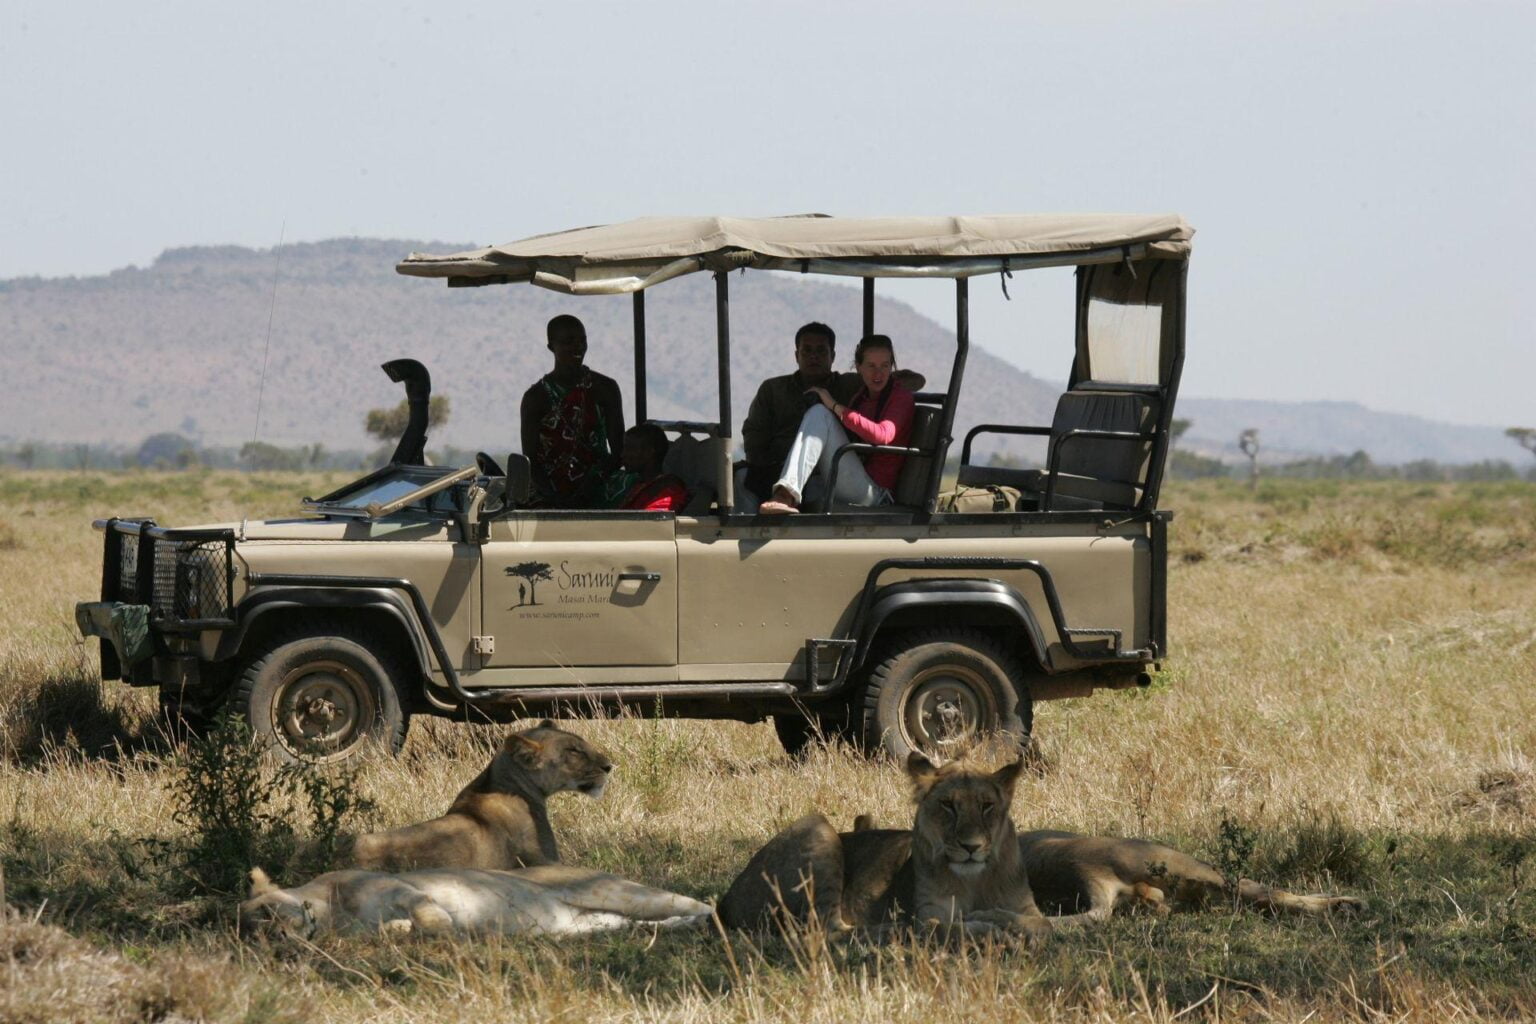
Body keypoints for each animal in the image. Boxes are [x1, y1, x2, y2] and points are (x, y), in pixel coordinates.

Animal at [718, 753, 1052, 944]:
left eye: (986, 806)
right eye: (948, 805)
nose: (971, 847)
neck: (975, 879)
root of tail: (726, 899)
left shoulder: (1026, 907)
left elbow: (1038, 923)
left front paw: (996, 921)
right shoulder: (929, 915)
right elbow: (948, 928)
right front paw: (988, 929)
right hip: (818, 826)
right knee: (830, 930)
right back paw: (893, 930)